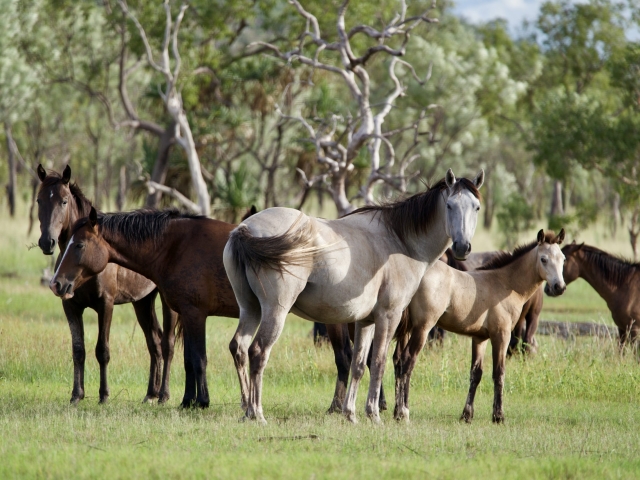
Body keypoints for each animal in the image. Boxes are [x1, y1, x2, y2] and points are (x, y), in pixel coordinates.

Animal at [36, 164, 178, 404]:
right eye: (38, 200)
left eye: (64, 201)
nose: (47, 242)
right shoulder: (70, 306)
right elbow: (78, 350)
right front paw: (77, 395)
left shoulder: (106, 304)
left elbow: (102, 350)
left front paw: (104, 395)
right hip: (142, 302)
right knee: (154, 342)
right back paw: (151, 393)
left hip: (167, 303)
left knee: (167, 343)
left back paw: (164, 395)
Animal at [223, 169, 484, 424]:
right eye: (449, 205)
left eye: (476, 207)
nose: (462, 247)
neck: (398, 242)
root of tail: (245, 229)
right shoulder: (388, 317)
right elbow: (378, 363)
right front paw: (375, 414)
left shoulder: (365, 320)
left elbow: (358, 364)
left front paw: (351, 414)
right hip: (275, 311)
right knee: (258, 352)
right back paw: (257, 413)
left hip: (250, 309)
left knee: (239, 348)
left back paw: (246, 410)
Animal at [392, 229, 566, 423]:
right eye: (544, 259)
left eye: (563, 258)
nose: (559, 287)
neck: (505, 284)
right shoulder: (501, 335)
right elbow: (499, 373)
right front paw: (498, 416)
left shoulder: (479, 338)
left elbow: (475, 374)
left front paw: (467, 415)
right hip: (423, 328)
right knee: (407, 362)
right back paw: (403, 412)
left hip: (408, 329)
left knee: (398, 361)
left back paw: (396, 411)